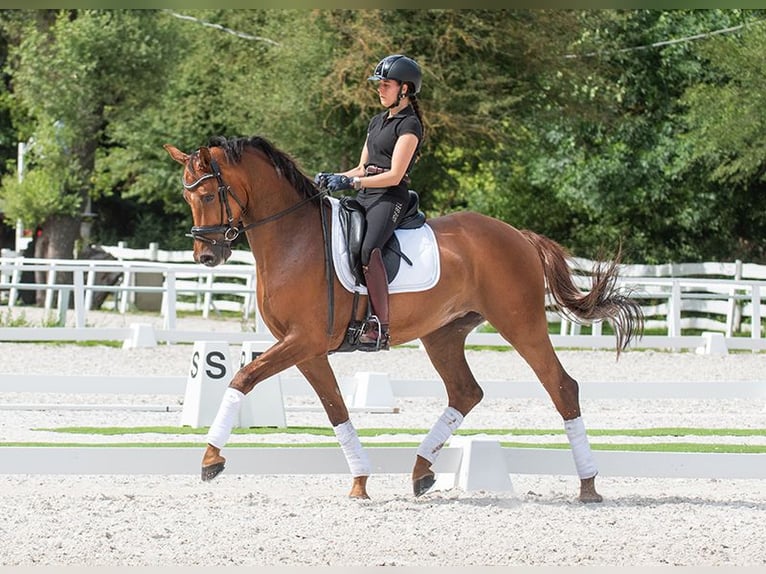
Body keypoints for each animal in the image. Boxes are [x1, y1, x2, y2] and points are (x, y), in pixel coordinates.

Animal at [165, 136, 644, 504]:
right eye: (188, 197)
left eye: (206, 195)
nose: (207, 257)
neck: (293, 240)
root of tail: (518, 235)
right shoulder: (307, 349)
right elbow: (336, 409)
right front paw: (360, 481)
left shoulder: (303, 341)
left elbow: (242, 378)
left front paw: (211, 459)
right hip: (444, 334)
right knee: (466, 392)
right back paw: (421, 472)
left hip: (520, 324)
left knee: (561, 386)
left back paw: (588, 486)